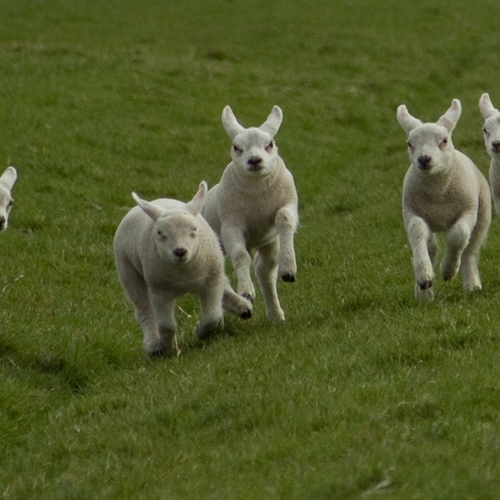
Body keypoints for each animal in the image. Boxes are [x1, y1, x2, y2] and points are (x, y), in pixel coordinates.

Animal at [114, 180, 252, 356]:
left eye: (194, 229)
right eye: (159, 232)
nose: (180, 251)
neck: (184, 273)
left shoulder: (211, 281)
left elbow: (212, 316)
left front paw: (199, 331)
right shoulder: (159, 290)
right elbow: (167, 325)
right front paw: (165, 345)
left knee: (225, 284)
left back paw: (242, 306)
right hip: (128, 271)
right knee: (144, 310)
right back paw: (153, 344)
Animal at [202, 105, 296, 320]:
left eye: (270, 144)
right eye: (237, 147)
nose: (254, 160)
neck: (256, 190)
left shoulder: (289, 203)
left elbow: (285, 218)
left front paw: (289, 268)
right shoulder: (230, 223)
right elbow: (240, 255)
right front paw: (246, 292)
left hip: (269, 241)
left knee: (265, 270)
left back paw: (276, 314)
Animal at [396, 97, 490, 300]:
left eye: (444, 141)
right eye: (410, 144)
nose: (424, 159)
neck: (437, 194)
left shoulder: (469, 211)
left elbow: (459, 235)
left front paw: (448, 270)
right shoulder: (411, 212)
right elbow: (417, 232)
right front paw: (424, 276)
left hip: (483, 218)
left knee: (470, 252)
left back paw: (472, 285)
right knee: (431, 247)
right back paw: (424, 293)